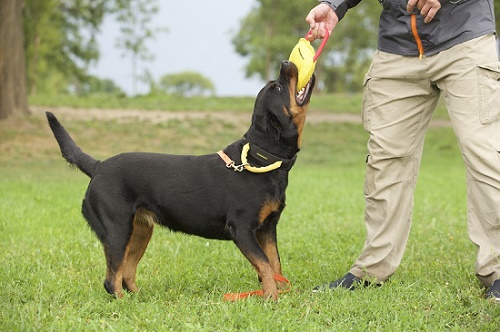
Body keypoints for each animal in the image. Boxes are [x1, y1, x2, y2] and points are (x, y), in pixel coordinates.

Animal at [46, 60, 312, 300]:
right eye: (278, 87)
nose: (285, 62)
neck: (260, 158)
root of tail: (98, 166)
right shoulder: (242, 228)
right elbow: (265, 264)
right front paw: (271, 298)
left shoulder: (267, 227)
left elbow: (275, 264)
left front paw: (279, 293)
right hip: (117, 229)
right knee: (111, 280)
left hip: (140, 230)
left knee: (126, 273)